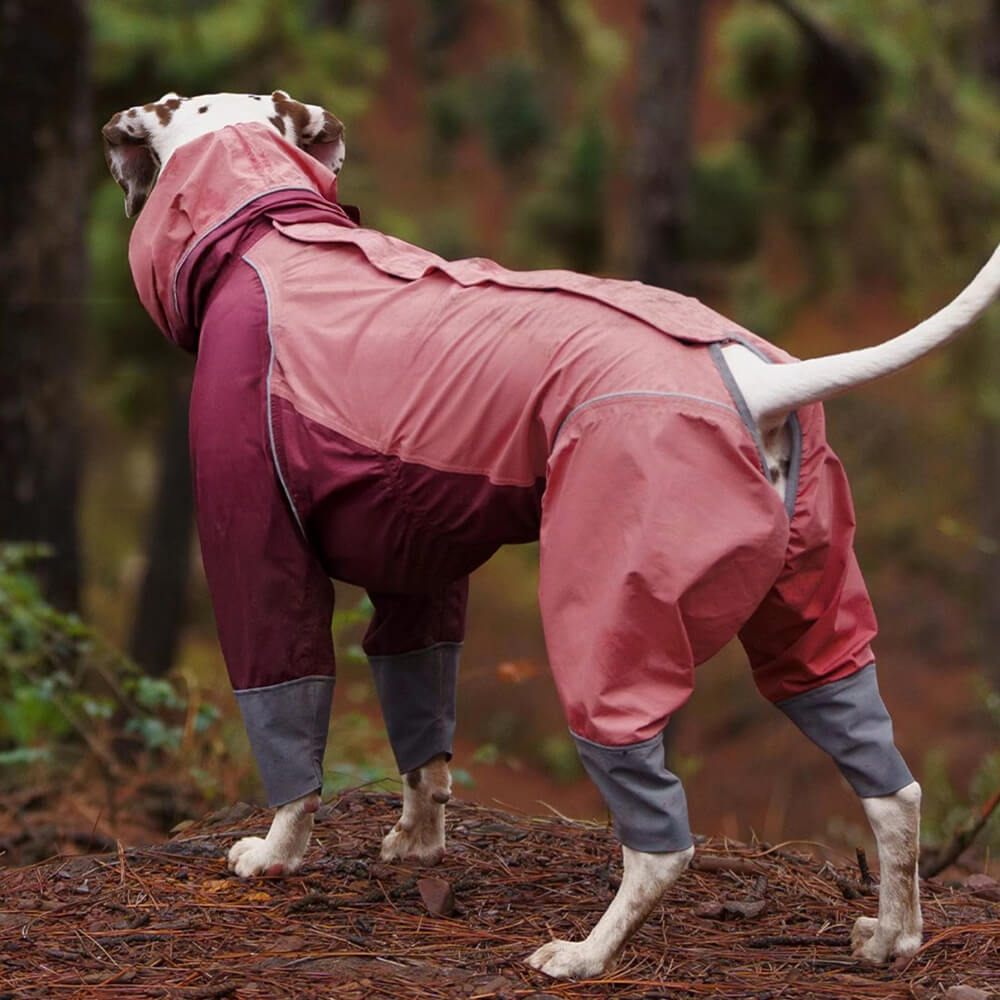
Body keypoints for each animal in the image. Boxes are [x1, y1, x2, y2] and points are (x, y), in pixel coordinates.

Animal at [101, 90, 1000, 980]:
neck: (271, 232)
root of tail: (759, 382)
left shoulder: (263, 553)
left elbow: (291, 733)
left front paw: (275, 855)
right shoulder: (419, 579)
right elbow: (423, 733)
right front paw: (418, 844)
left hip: (606, 622)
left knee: (660, 841)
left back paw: (583, 953)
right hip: (811, 622)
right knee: (891, 790)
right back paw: (891, 937)